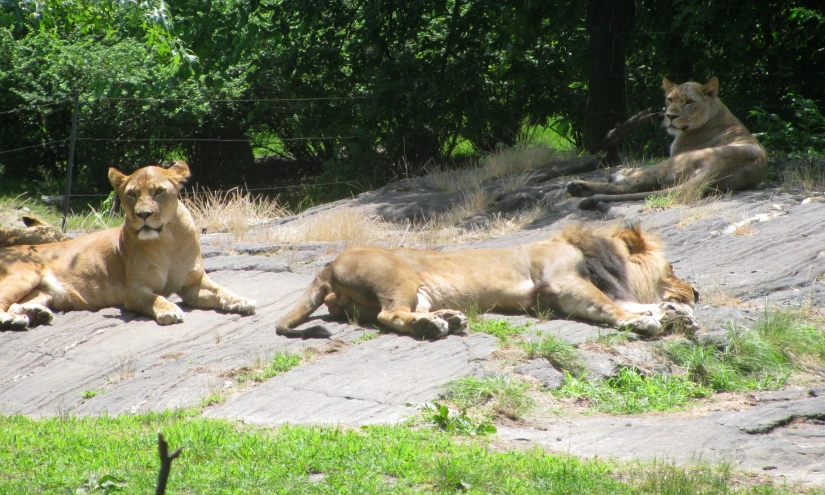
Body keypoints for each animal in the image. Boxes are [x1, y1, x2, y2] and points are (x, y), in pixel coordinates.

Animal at [0, 161, 254, 332]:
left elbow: (221, 291)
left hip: (42, 292)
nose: (144, 214)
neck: (167, 241)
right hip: (23, 275)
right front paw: (170, 310)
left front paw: (243, 301)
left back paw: (34, 315)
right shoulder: (135, 291)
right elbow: (156, 298)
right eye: (131, 194)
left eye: (159, 191)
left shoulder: (193, 284)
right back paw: (15, 319)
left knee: (16, 305)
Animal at [276, 223, 696, 340]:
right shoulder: (560, 284)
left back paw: (447, 318)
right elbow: (612, 306)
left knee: (395, 313)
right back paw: (435, 327)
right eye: (672, 267)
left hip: (416, 293)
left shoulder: (561, 296)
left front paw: (674, 313)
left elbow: (633, 302)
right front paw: (646, 320)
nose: (696, 291)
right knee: (387, 316)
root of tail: (328, 265)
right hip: (398, 277)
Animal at [568, 77, 768, 209]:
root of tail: (718, 168)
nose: (670, 116)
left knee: (630, 184)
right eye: (670, 99)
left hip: (675, 162)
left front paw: (621, 172)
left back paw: (579, 186)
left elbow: (637, 170)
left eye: (689, 102)